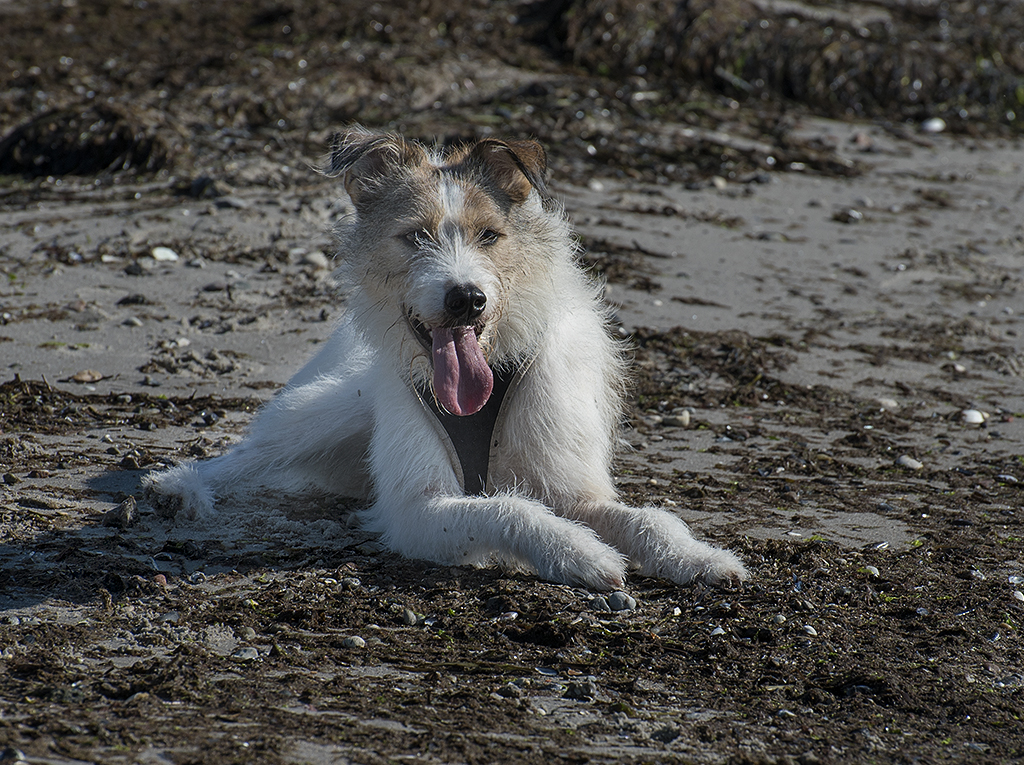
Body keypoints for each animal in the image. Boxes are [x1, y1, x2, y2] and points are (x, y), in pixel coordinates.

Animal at [144, 126, 749, 593]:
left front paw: (700, 558)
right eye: (415, 237)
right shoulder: (417, 511)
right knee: (243, 456)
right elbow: (508, 508)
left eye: (490, 236)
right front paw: (581, 554)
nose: (466, 298)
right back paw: (177, 487)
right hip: (332, 409)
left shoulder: (572, 488)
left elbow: (649, 519)